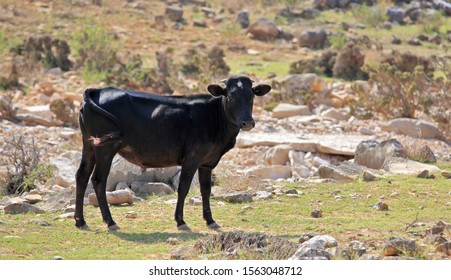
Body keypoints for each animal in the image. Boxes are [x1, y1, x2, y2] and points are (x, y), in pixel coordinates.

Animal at [75, 75, 270, 231]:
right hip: (106, 147)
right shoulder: (191, 158)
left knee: (82, 176)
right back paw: (110, 222)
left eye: (252, 96)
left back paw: (80, 221)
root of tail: (98, 90)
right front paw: (181, 221)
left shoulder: (207, 162)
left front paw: (210, 220)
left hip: (89, 144)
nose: (248, 123)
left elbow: (206, 190)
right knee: (98, 180)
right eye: (231, 97)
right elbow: (183, 188)